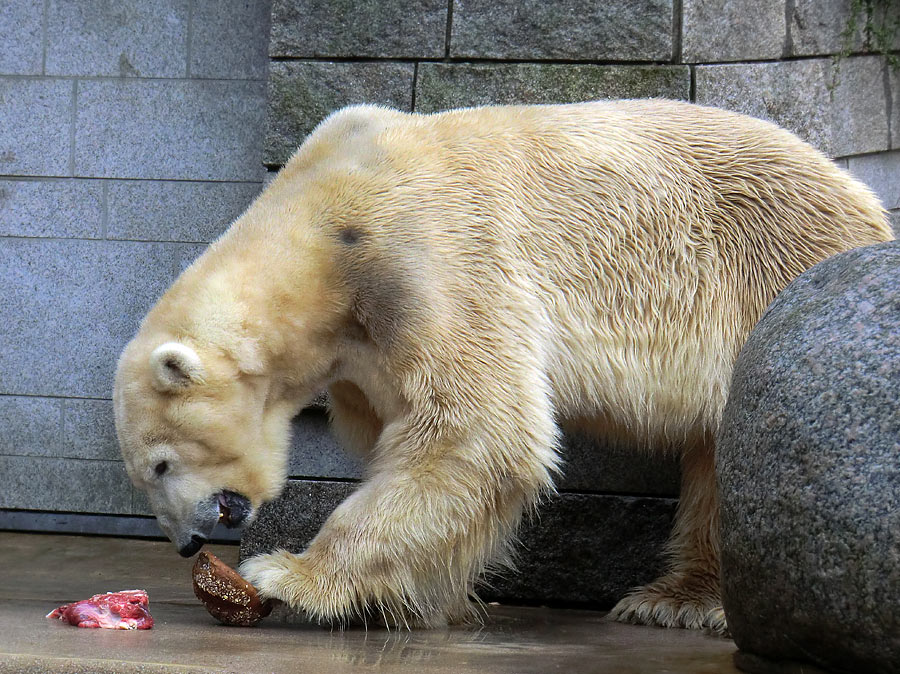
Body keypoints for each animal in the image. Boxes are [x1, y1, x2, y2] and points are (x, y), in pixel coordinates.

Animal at [114, 100, 892, 632]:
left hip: (765, 279)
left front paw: (288, 573)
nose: (187, 544)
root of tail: (868, 207)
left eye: (159, 463)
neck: (324, 230)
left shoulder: (427, 257)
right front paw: (428, 595)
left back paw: (679, 602)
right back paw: (676, 598)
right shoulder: (362, 340)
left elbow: (475, 430)